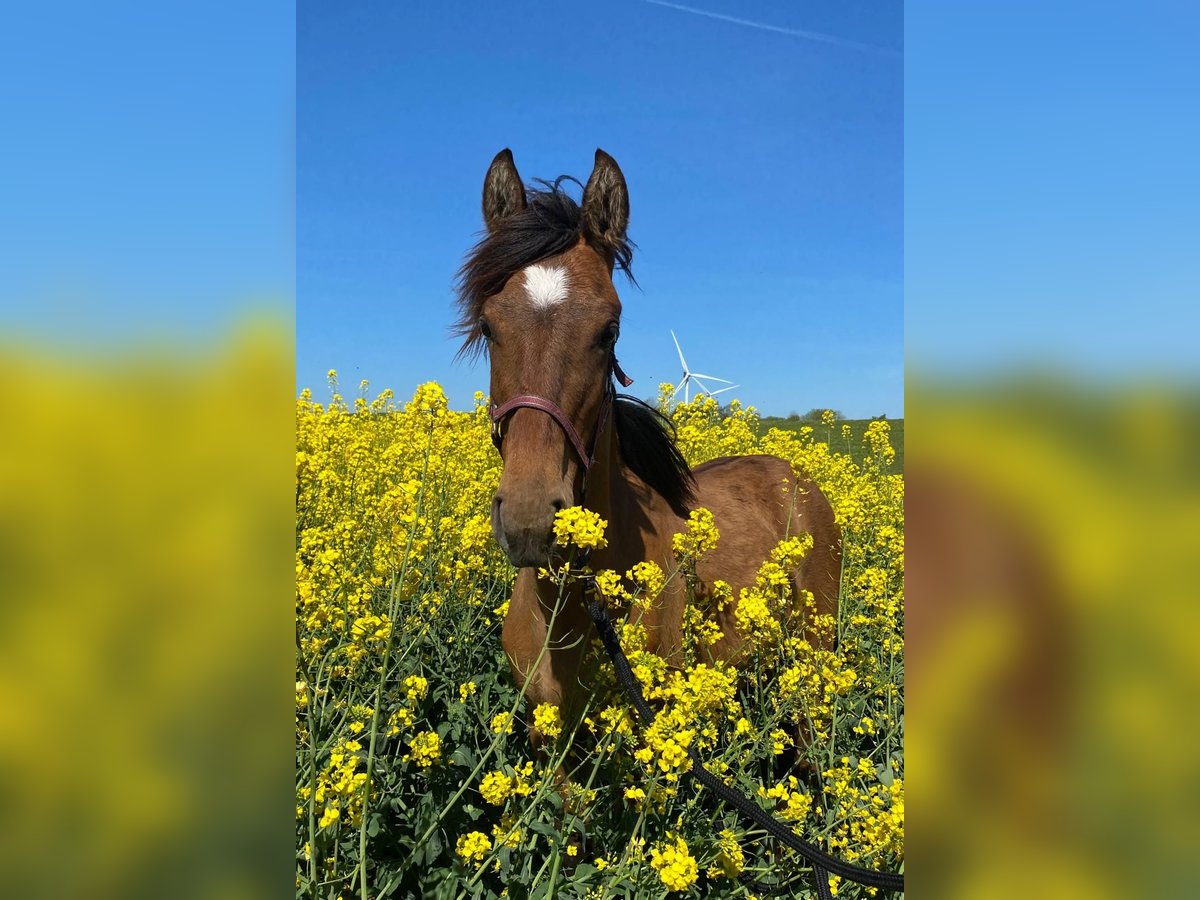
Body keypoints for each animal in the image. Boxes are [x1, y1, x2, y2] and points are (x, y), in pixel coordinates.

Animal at [453, 150, 840, 753]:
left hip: (813, 671)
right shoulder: (550, 743)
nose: (531, 521)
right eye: (489, 327)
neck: (571, 610)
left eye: (609, 330)